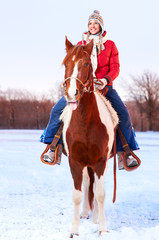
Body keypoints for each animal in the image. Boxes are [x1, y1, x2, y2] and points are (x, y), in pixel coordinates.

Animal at [60, 36, 118, 237]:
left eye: (86, 63)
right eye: (65, 64)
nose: (71, 93)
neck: (85, 123)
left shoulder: (100, 160)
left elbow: (100, 193)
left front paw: (102, 228)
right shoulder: (75, 161)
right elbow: (77, 194)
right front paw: (74, 230)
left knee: (96, 186)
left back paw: (95, 217)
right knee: (87, 184)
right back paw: (86, 213)